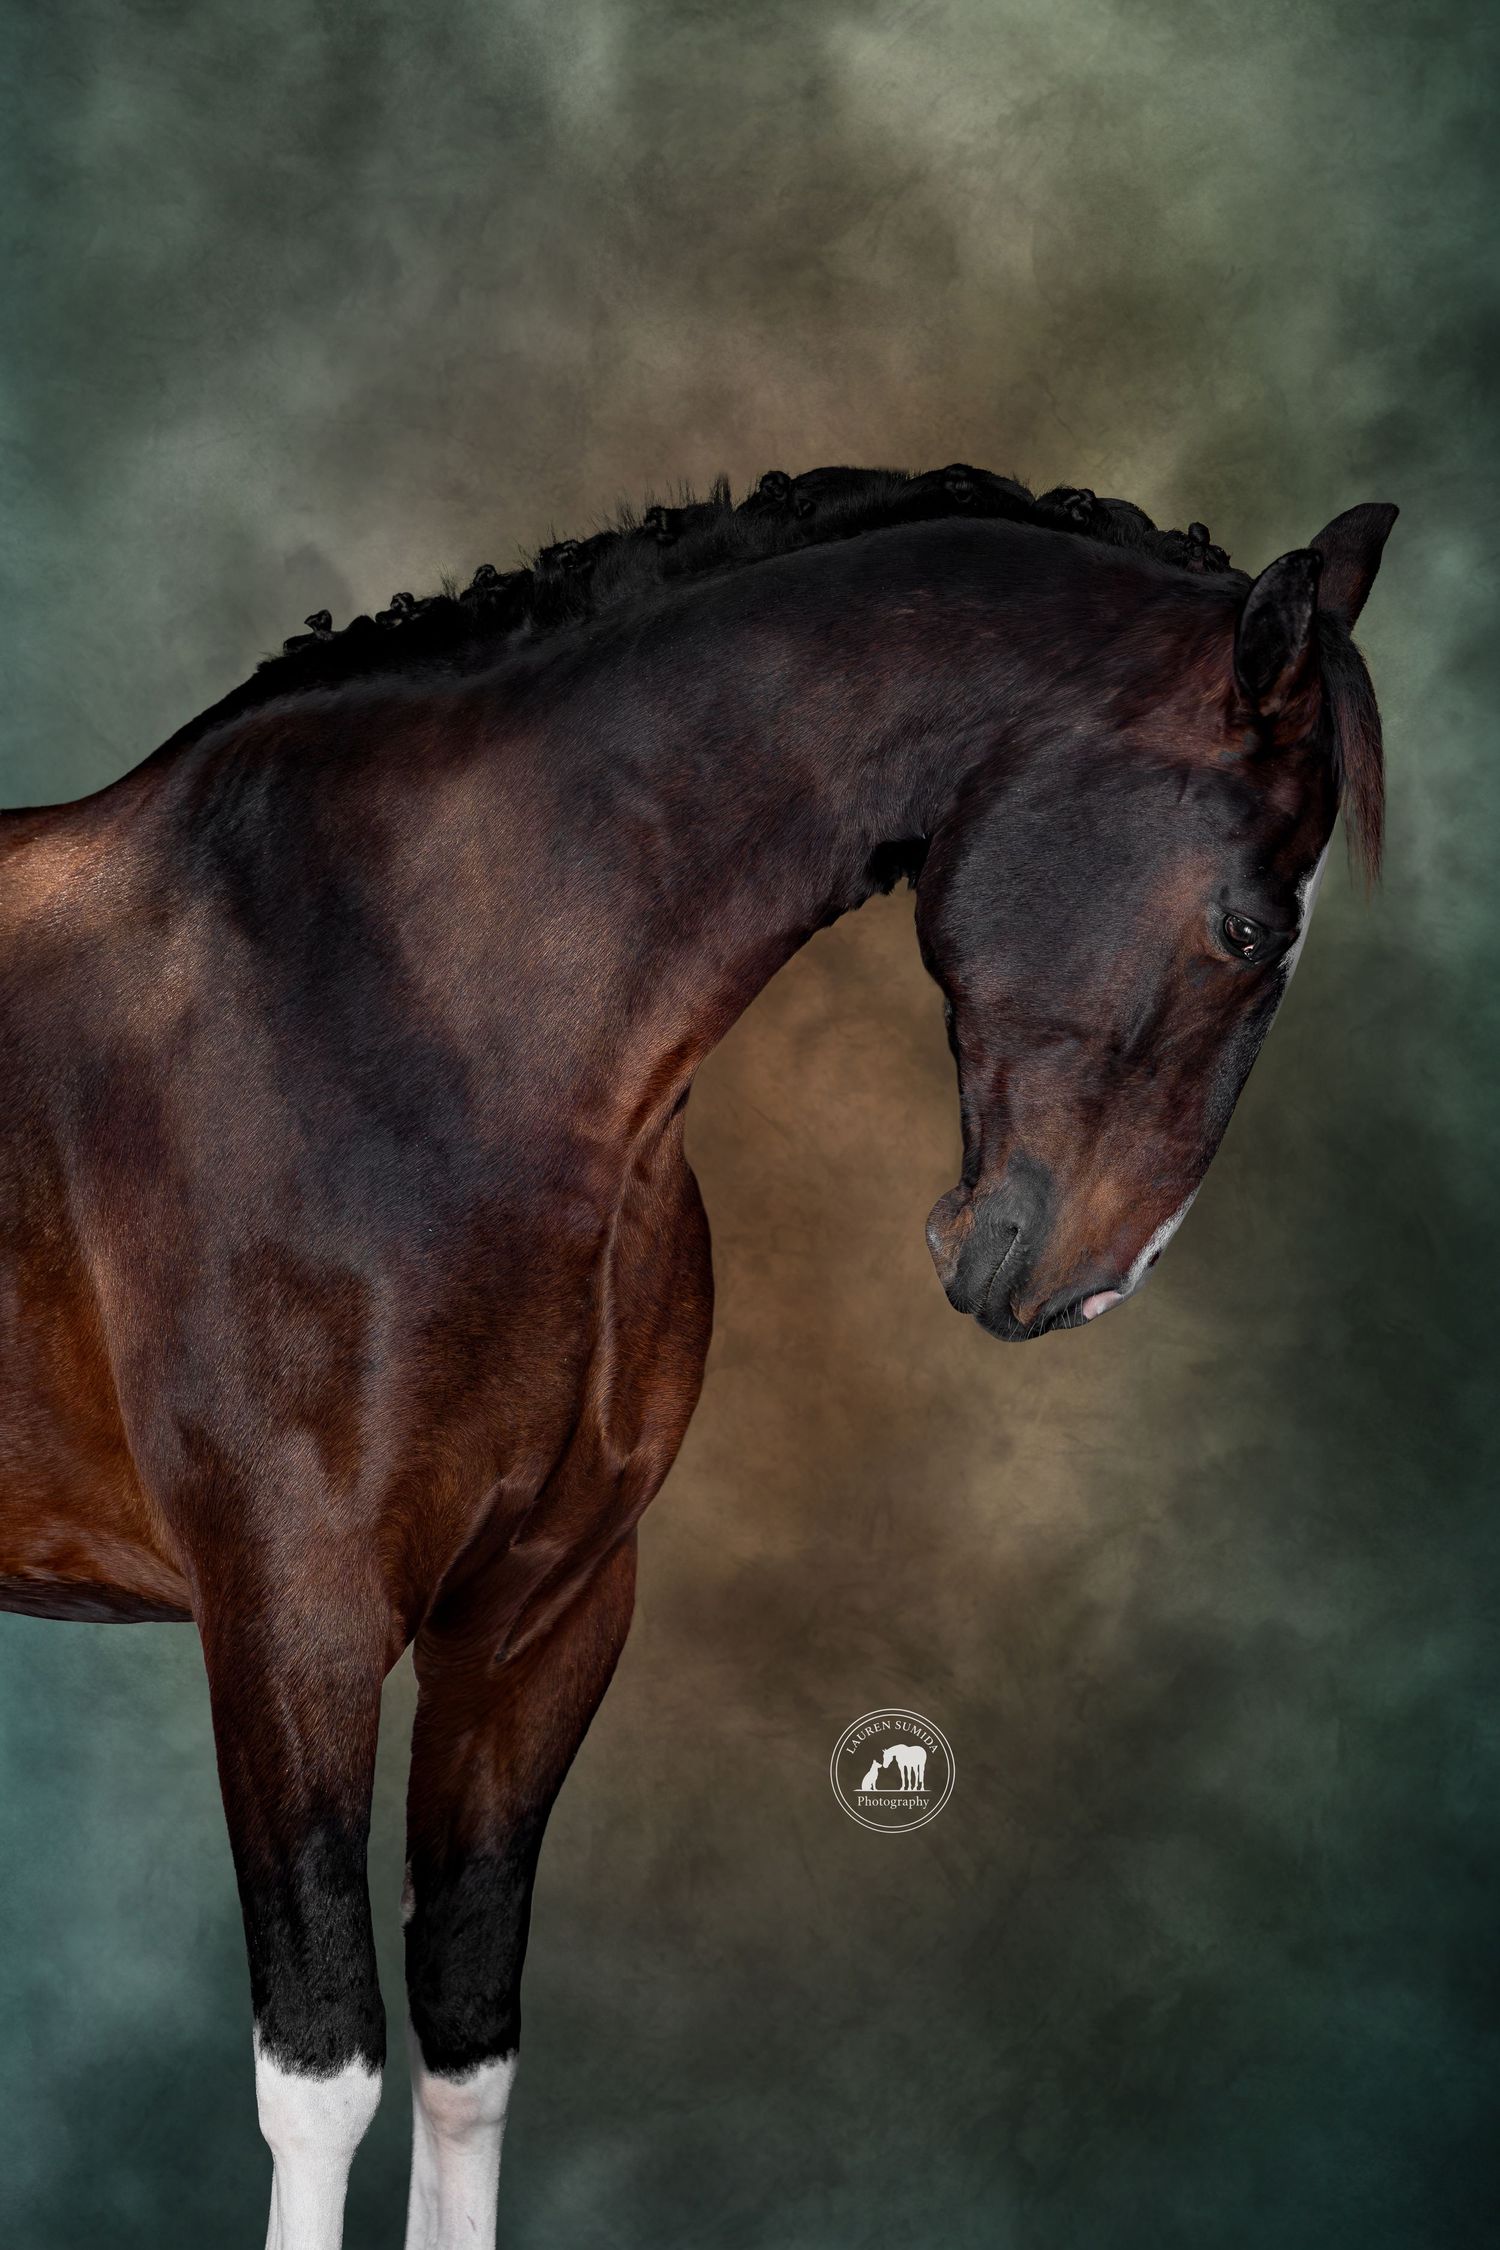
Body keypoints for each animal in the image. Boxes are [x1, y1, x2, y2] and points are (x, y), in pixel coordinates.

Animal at [0, 459, 1396, 2248]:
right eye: (1244, 923)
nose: (1083, 1278)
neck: (417, 1009)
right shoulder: (288, 1619)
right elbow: (321, 2078)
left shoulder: (537, 1619)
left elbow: (467, 2047)